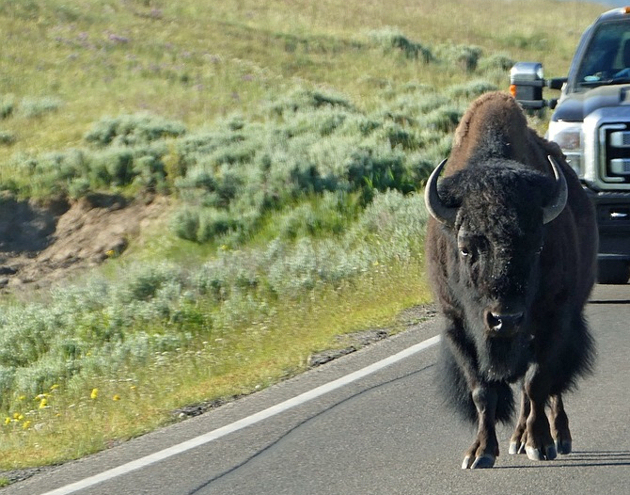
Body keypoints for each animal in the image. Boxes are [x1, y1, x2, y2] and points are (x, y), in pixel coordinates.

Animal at [428, 92, 600, 468]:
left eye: (537, 245)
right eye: (465, 247)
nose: (504, 319)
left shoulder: (553, 320)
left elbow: (536, 384)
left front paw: (541, 445)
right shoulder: (456, 324)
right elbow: (482, 391)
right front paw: (479, 453)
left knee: (549, 387)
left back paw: (554, 437)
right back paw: (517, 440)